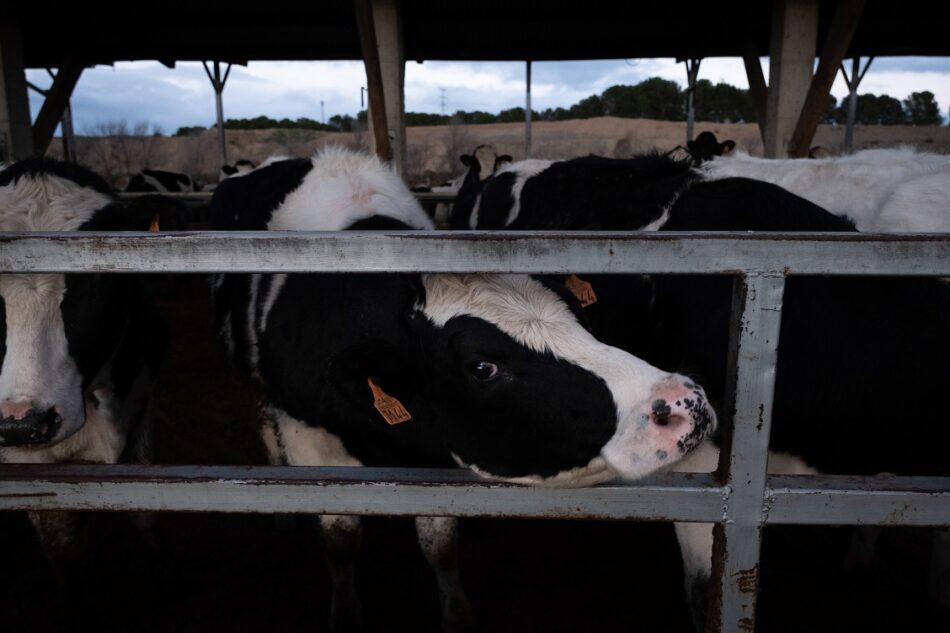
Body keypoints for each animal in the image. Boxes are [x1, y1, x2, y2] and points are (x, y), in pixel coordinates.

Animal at [210, 144, 720, 632]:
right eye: (482, 368)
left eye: (582, 319)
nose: (684, 403)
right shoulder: (305, 434)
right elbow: (340, 540)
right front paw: (345, 613)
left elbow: (439, 542)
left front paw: (456, 614)